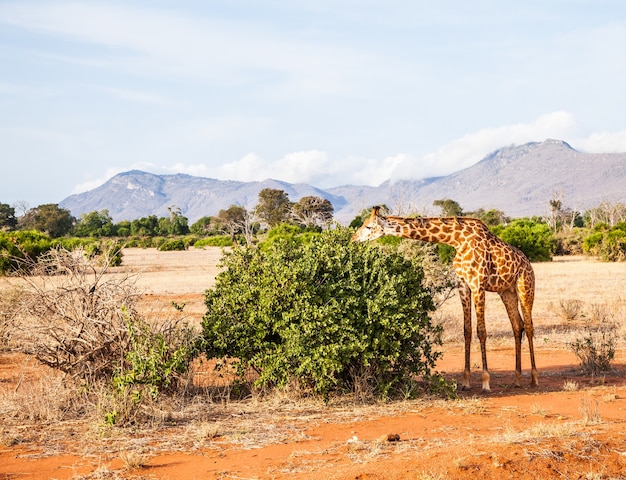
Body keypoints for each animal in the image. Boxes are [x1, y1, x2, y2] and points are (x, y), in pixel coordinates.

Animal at [352, 204, 536, 392]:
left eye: (368, 226)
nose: (353, 239)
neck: (457, 240)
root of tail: (528, 263)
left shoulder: (477, 284)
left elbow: (482, 331)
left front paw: (485, 382)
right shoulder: (463, 284)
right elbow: (467, 330)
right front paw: (466, 381)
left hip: (525, 287)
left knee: (529, 326)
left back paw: (533, 379)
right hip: (507, 292)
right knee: (517, 326)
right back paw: (517, 379)